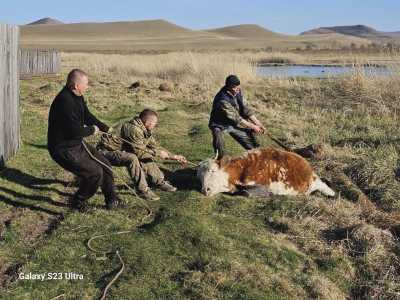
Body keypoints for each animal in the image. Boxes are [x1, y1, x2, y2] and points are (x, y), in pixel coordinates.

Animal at [197, 147, 334, 197]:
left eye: (213, 170)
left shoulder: (264, 184)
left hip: (317, 183)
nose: (205, 190)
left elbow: (247, 192)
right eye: (199, 177)